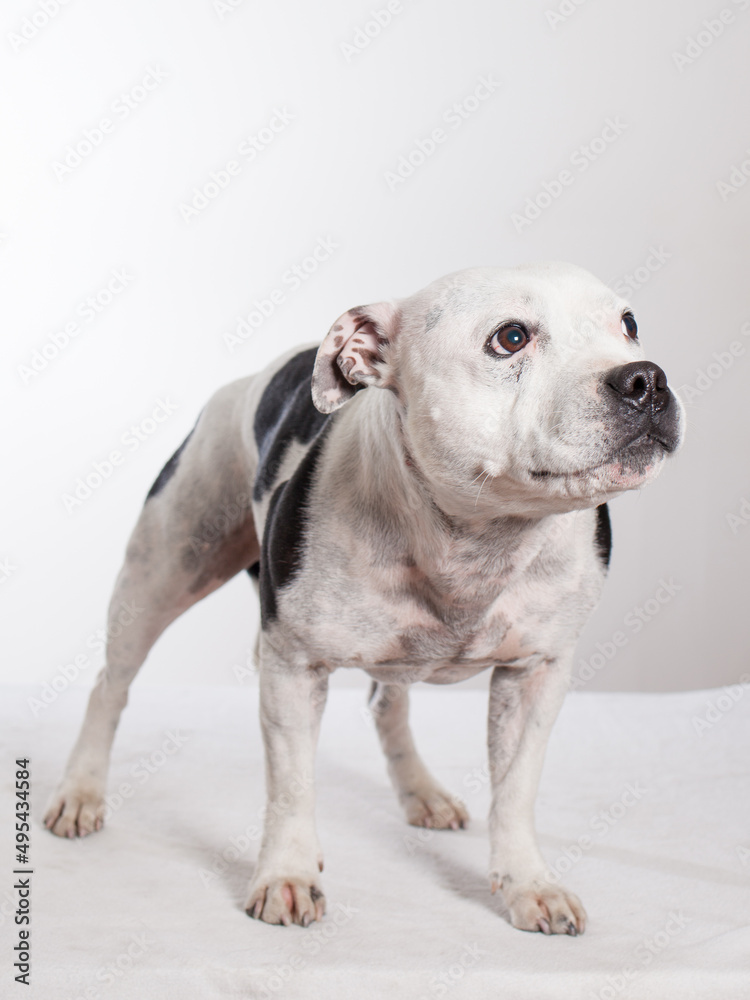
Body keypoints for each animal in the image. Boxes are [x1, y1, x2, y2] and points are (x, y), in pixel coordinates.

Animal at [44, 262, 684, 932]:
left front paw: (528, 883)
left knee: (387, 704)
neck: (475, 535)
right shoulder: (293, 667)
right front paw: (287, 874)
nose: (646, 378)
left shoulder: (536, 672)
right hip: (165, 568)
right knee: (111, 683)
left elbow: (515, 790)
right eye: (510, 338)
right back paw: (81, 791)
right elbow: (292, 784)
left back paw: (421, 791)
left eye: (629, 324)